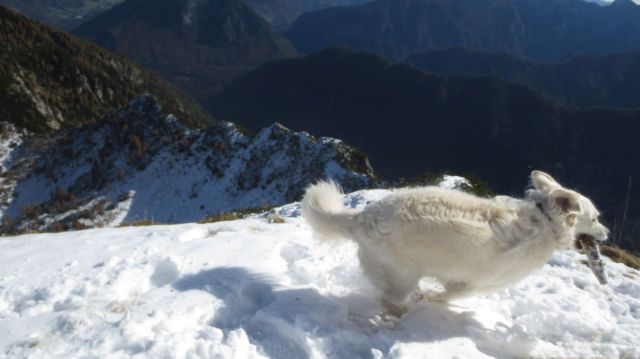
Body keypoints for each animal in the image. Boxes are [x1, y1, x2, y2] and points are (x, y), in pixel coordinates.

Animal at [302, 173, 608, 308]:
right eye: (594, 219)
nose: (607, 234)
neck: (544, 221)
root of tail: (364, 217)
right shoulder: (472, 281)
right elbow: (453, 293)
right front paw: (435, 298)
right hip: (401, 273)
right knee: (392, 296)